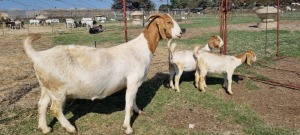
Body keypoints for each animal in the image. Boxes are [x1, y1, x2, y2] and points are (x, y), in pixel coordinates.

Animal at [23, 12, 182, 134]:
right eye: (169, 22)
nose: (181, 32)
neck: (142, 49)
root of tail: (38, 55)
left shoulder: (134, 83)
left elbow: (134, 100)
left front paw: (138, 111)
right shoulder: (133, 81)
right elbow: (128, 104)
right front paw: (128, 127)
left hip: (46, 86)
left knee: (42, 105)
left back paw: (45, 128)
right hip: (57, 89)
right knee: (55, 109)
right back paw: (70, 128)